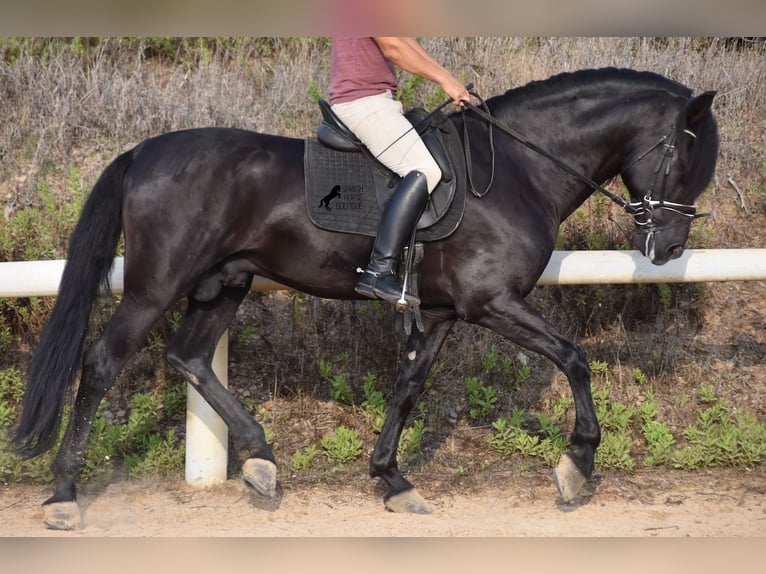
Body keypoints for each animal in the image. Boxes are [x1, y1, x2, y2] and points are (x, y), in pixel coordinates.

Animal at [12, 67, 720, 532]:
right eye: (686, 159)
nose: (668, 249)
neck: (519, 169)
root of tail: (143, 151)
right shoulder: (489, 302)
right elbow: (574, 357)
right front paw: (575, 466)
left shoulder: (442, 313)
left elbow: (408, 388)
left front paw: (392, 479)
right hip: (156, 286)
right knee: (102, 363)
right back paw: (64, 495)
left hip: (223, 284)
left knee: (187, 358)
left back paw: (262, 461)